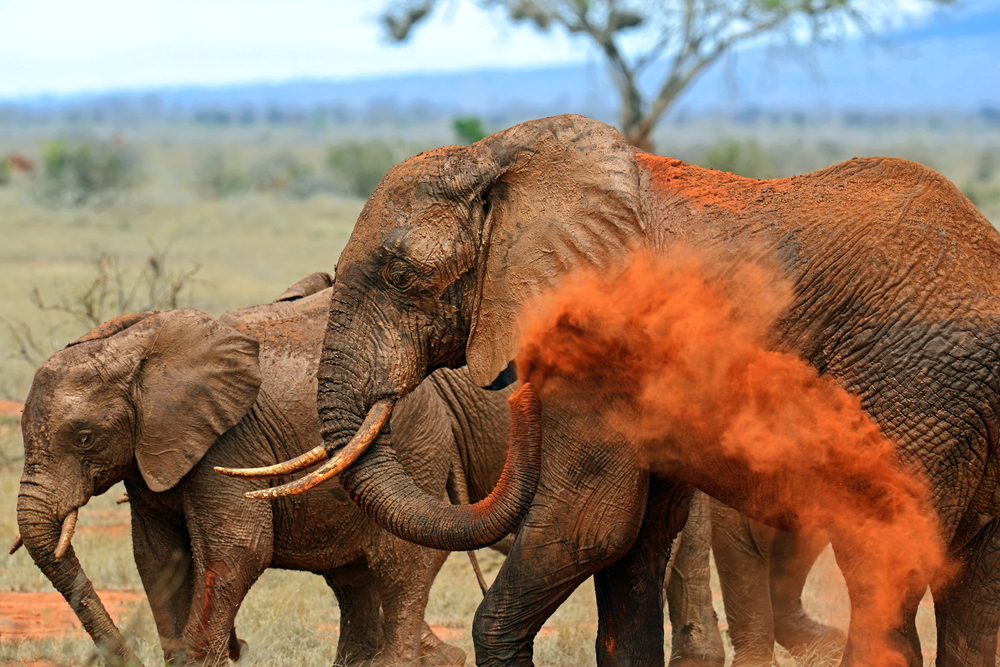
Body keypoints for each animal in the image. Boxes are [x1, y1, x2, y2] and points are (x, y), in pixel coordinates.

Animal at [15, 272, 532, 667]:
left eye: (84, 438)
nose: (242, 646)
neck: (134, 352)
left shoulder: (228, 441)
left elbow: (238, 549)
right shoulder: (148, 457)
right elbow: (159, 557)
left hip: (415, 447)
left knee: (396, 567)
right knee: (353, 580)